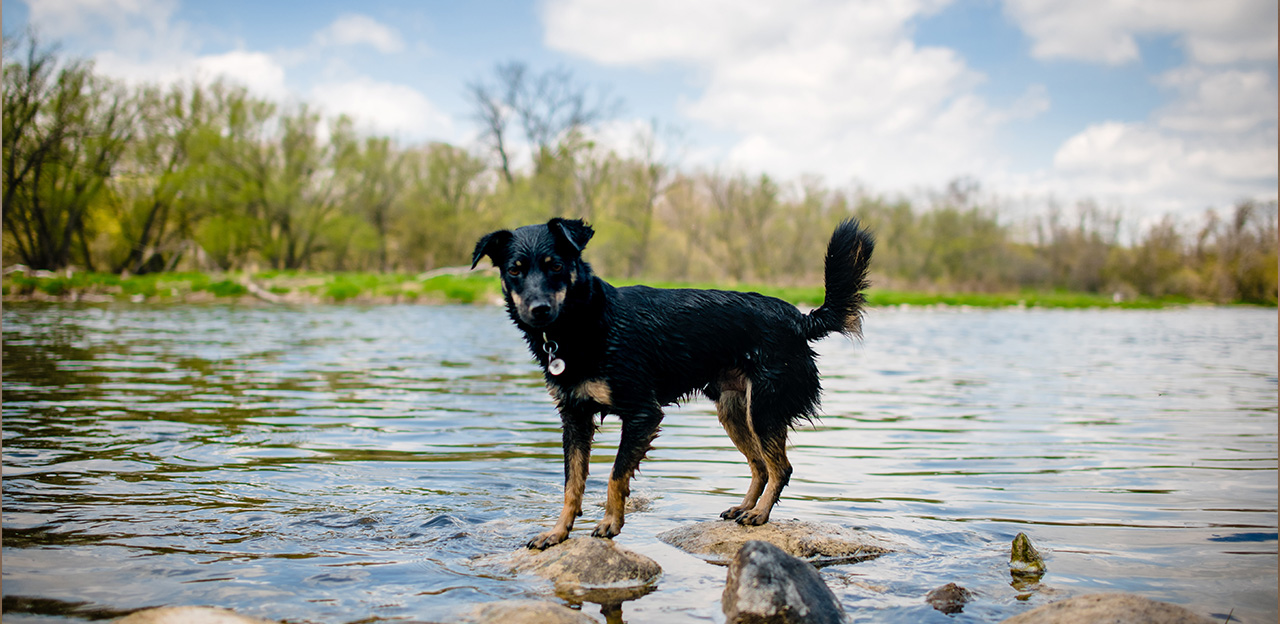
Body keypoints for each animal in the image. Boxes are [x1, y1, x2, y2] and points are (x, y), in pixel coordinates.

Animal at [476, 217, 875, 547]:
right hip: (735, 413)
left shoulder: (642, 413)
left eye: (556, 266)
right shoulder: (574, 419)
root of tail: (800, 320)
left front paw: (610, 524)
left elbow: (615, 475)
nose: (539, 310)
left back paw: (759, 514)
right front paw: (558, 532)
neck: (585, 323)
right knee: (760, 466)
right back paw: (745, 507)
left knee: (781, 468)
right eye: (514, 270)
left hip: (763, 410)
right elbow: (571, 485)